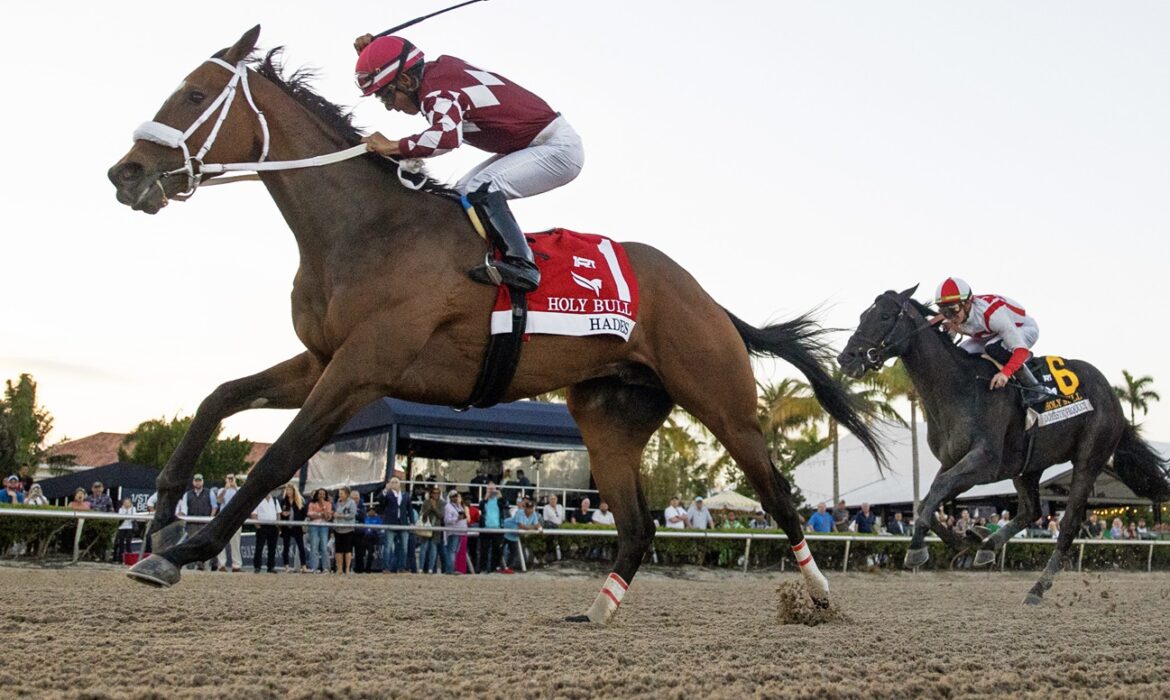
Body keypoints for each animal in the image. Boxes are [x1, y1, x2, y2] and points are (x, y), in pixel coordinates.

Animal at [109, 24, 879, 622]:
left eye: (194, 95)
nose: (125, 174)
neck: (366, 229)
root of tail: (710, 300)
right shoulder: (323, 359)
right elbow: (218, 399)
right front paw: (161, 518)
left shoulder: (363, 369)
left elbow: (276, 459)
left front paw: (182, 552)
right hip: (609, 415)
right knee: (637, 524)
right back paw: (598, 610)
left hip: (723, 402)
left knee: (780, 500)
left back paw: (820, 598)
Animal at [842, 287, 1170, 604]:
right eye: (861, 315)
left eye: (885, 316)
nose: (846, 358)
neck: (961, 388)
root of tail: (1113, 398)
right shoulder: (955, 462)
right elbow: (929, 501)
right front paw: (967, 540)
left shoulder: (983, 462)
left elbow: (937, 491)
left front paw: (918, 549)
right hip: (1028, 466)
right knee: (1032, 511)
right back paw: (989, 545)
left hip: (1089, 459)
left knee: (1067, 526)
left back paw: (1037, 589)